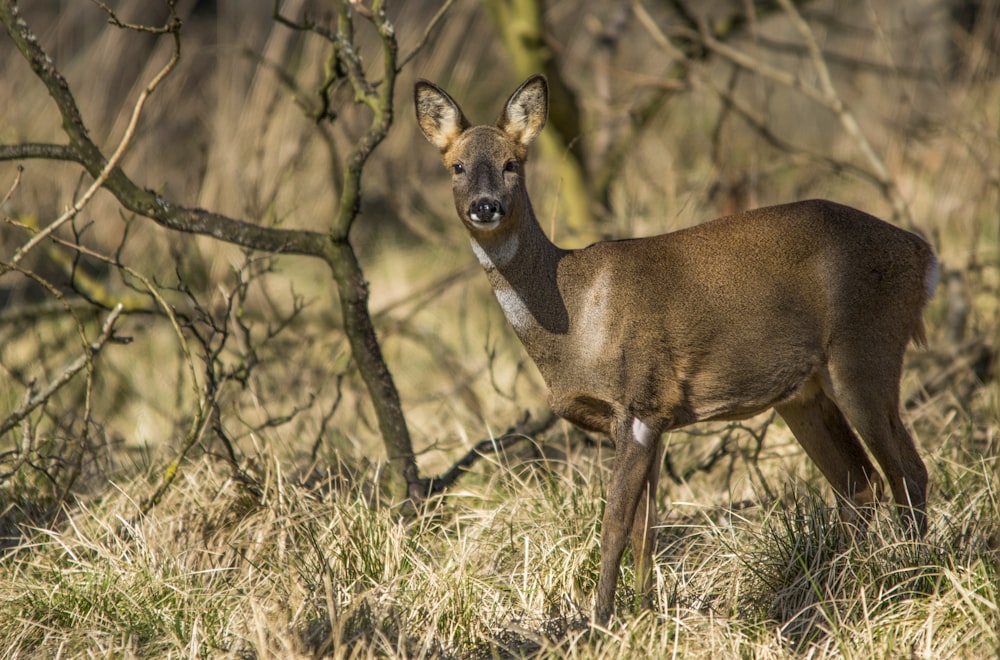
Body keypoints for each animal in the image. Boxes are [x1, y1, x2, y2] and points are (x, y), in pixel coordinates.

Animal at [412, 75, 936, 628]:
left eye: (513, 162)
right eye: (456, 166)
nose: (485, 206)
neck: (575, 320)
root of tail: (925, 257)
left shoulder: (639, 400)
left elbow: (615, 527)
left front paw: (600, 622)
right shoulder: (655, 417)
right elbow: (647, 529)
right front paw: (644, 615)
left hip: (866, 352)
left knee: (907, 472)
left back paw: (910, 577)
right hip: (804, 394)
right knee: (858, 482)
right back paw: (840, 591)